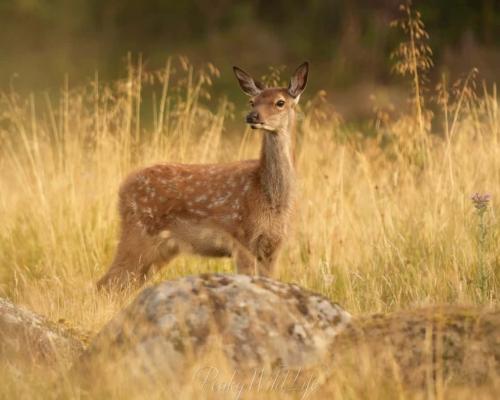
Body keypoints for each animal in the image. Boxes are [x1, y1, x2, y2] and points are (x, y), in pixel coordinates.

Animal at [96, 61, 308, 290]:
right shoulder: (241, 238)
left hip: (161, 249)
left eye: (280, 102)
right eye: (252, 101)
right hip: (138, 233)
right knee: (105, 283)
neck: (268, 196)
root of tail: (122, 188)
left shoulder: (273, 245)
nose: (252, 116)